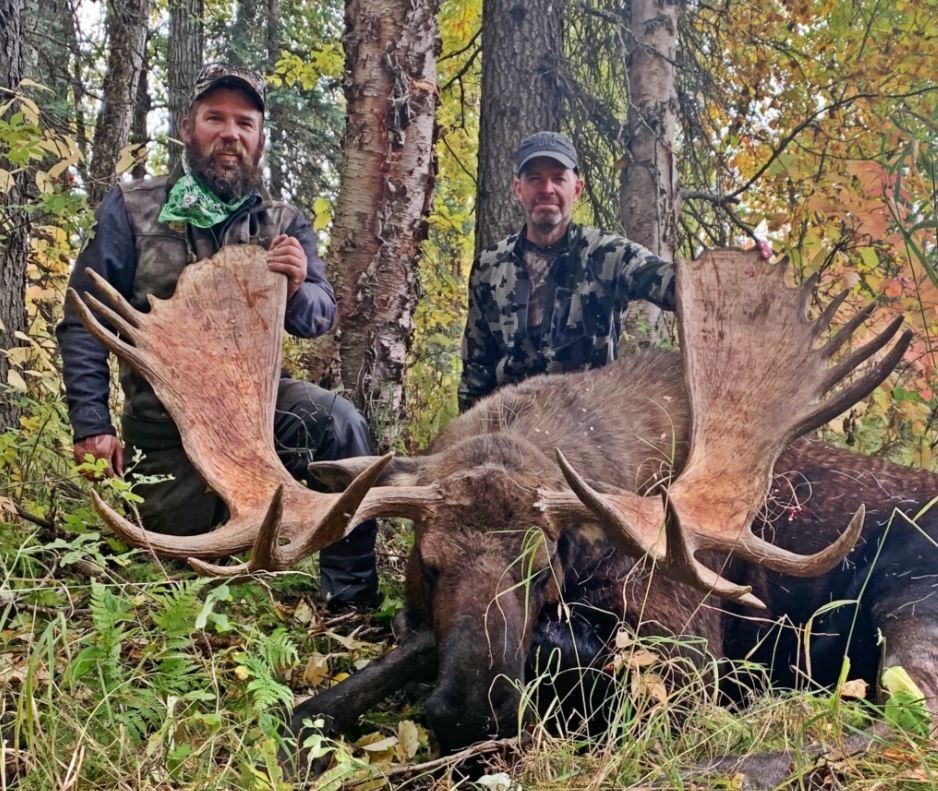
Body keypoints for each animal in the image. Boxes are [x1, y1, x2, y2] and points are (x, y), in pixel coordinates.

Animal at [69, 245, 936, 761]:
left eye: (542, 567)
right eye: (425, 563)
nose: (470, 708)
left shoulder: (688, 643)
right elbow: (326, 697)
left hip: (912, 598)